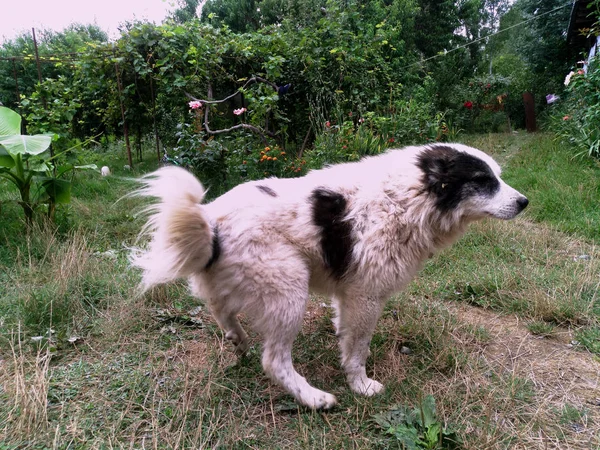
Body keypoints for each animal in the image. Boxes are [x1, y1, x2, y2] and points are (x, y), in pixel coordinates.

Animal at [130, 143, 524, 408]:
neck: (410, 196)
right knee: (274, 360)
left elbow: (345, 332)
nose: (525, 202)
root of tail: (211, 223)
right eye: (482, 180)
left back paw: (238, 340)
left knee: (221, 310)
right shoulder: (366, 296)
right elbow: (357, 349)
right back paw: (314, 398)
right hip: (289, 287)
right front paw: (361, 386)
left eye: (498, 176)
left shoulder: (348, 294)